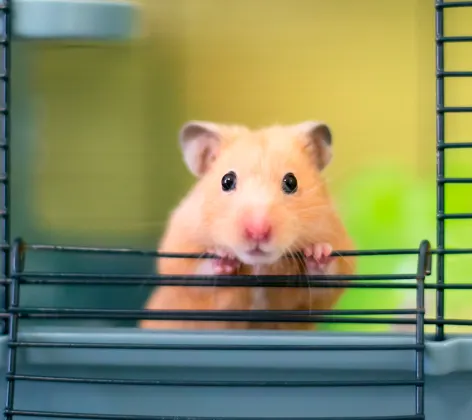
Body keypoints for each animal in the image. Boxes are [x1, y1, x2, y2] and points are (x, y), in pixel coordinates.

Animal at [138, 120, 356, 330]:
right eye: (226, 181)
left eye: (291, 182)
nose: (257, 232)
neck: (258, 265)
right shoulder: (179, 250)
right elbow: (195, 272)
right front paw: (224, 256)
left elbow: (326, 279)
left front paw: (317, 252)